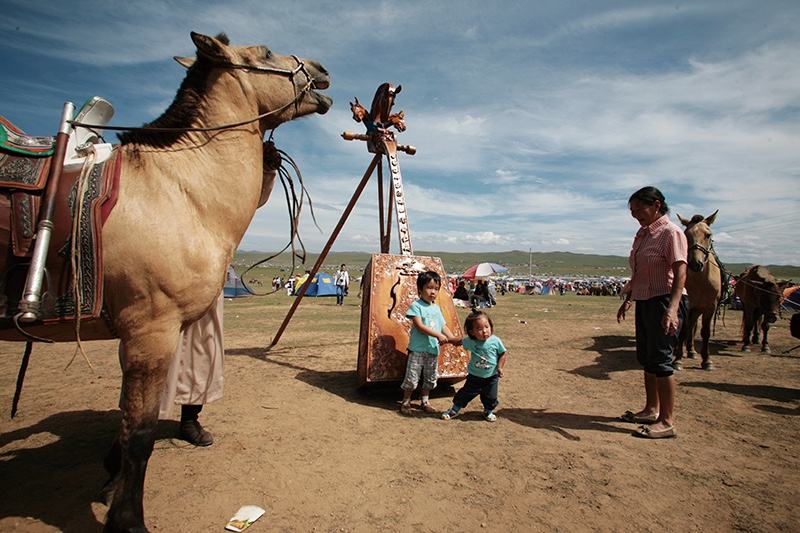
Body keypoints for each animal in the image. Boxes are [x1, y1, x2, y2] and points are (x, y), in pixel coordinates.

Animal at [1, 33, 330, 532]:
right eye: (266, 53)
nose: (322, 71)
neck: (177, 188)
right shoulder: (151, 330)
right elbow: (140, 432)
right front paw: (127, 518)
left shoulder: (144, 335)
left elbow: (132, 417)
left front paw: (111, 478)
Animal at [676, 210, 724, 368]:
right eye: (686, 234)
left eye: (708, 235)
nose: (695, 263)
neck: (700, 281)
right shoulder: (687, 304)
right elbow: (684, 330)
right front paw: (677, 359)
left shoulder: (710, 307)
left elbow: (705, 332)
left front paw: (707, 360)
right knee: (689, 327)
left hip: (698, 310)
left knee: (693, 326)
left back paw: (691, 351)